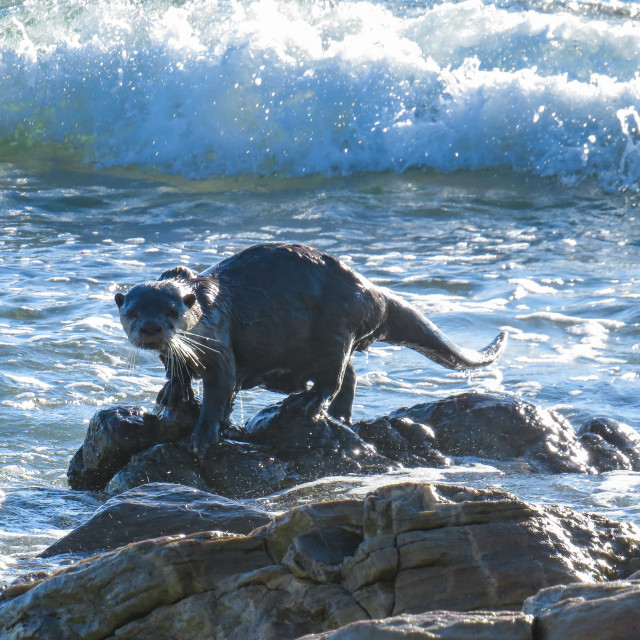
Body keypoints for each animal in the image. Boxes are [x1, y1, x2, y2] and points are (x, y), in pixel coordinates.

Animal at [114, 242, 504, 458]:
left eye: (172, 311)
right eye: (132, 312)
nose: (151, 328)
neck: (207, 311)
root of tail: (373, 292)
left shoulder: (221, 348)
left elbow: (220, 391)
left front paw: (205, 435)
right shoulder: (173, 356)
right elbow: (176, 374)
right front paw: (171, 394)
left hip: (337, 325)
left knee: (335, 375)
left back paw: (309, 404)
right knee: (350, 372)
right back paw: (342, 415)